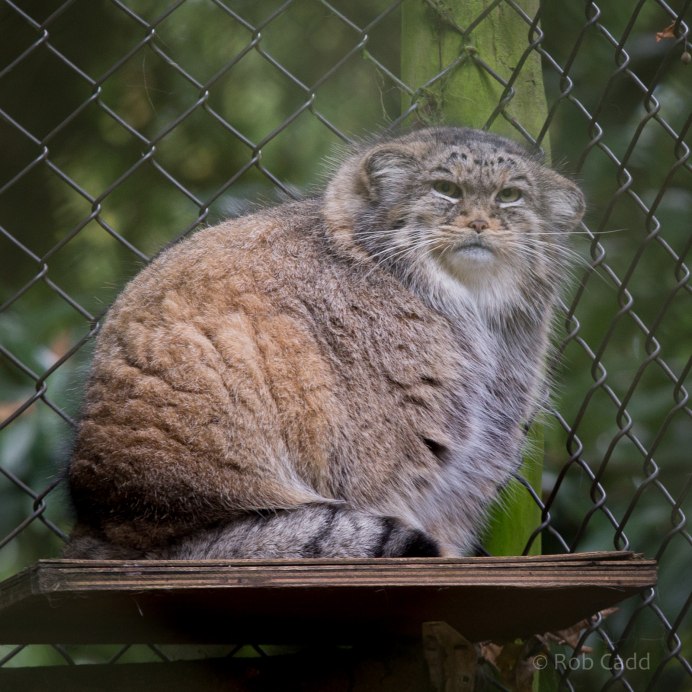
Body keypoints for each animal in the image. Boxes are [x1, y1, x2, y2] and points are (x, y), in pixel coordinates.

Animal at [63, 127, 584, 560]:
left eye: (511, 196)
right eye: (446, 189)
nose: (479, 224)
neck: (473, 312)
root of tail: (95, 526)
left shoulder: (476, 460)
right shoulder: (385, 450)